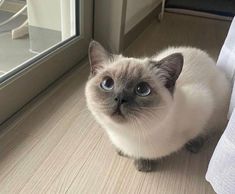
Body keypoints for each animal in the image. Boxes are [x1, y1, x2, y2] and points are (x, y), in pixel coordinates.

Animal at [85, 40, 231, 172]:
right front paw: (124, 152)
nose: (120, 98)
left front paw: (144, 163)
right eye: (107, 83)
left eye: (142, 89)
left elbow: (201, 130)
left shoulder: (204, 105)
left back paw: (194, 145)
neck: (127, 134)